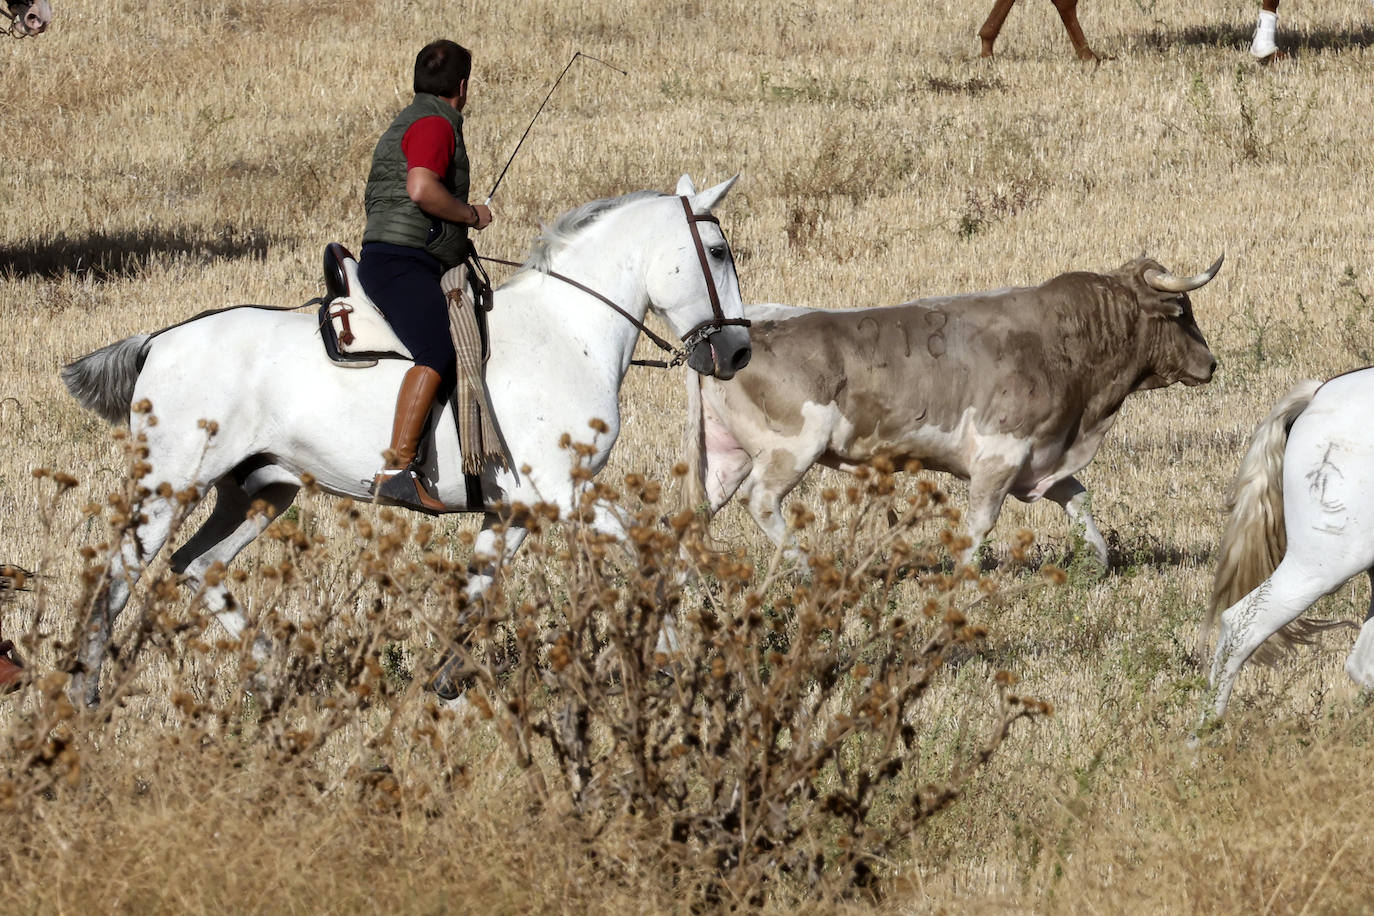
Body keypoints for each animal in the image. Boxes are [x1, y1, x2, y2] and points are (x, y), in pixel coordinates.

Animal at [61, 175, 752, 708]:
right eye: (718, 251)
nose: (739, 352)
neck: (565, 331)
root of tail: (161, 341)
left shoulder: (516, 508)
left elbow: (478, 588)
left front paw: (444, 679)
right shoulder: (564, 491)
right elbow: (649, 553)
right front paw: (673, 662)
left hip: (259, 490)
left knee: (197, 566)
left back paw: (270, 673)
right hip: (169, 486)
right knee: (118, 574)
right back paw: (85, 692)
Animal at [684, 254, 1225, 563]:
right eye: (1183, 312)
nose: (1212, 364)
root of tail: (726, 335)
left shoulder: (1042, 455)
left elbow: (1079, 500)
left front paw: (1099, 563)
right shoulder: (1000, 455)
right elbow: (980, 524)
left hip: (727, 457)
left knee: (696, 513)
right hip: (790, 450)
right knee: (761, 501)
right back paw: (801, 563)